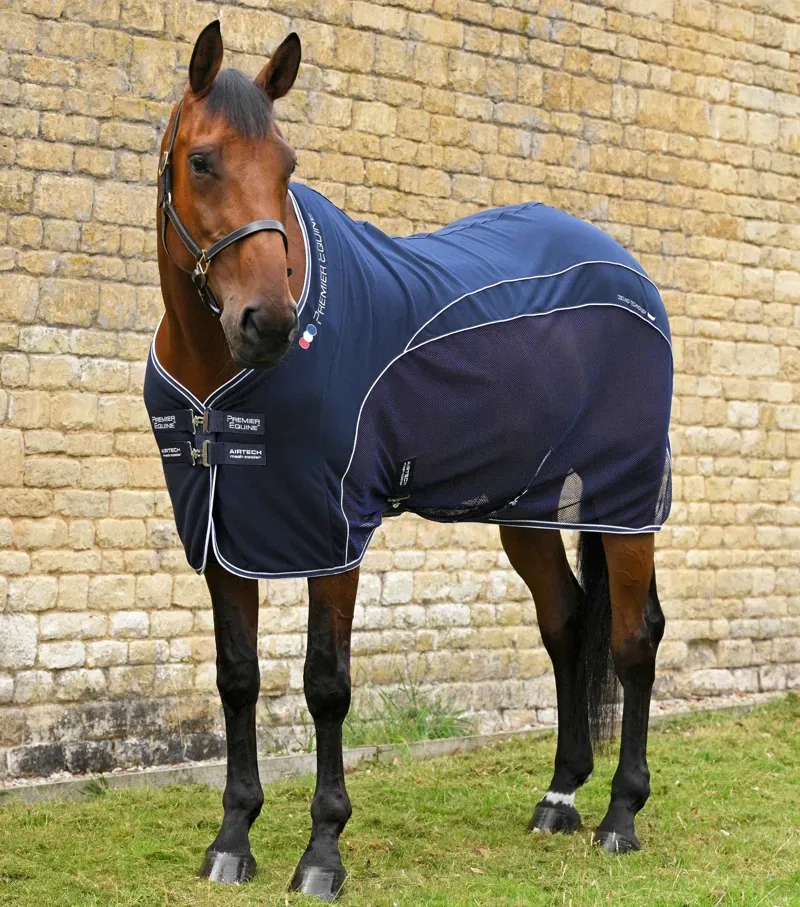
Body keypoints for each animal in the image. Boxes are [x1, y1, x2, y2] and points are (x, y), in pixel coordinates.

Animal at [147, 21, 672, 901]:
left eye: (287, 165)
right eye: (203, 160)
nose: (269, 322)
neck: (223, 377)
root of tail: (626, 267)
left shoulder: (332, 531)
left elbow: (326, 683)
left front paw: (322, 851)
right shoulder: (225, 530)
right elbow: (237, 676)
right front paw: (232, 838)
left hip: (627, 502)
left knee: (634, 637)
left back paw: (620, 815)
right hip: (525, 507)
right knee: (566, 622)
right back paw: (560, 795)